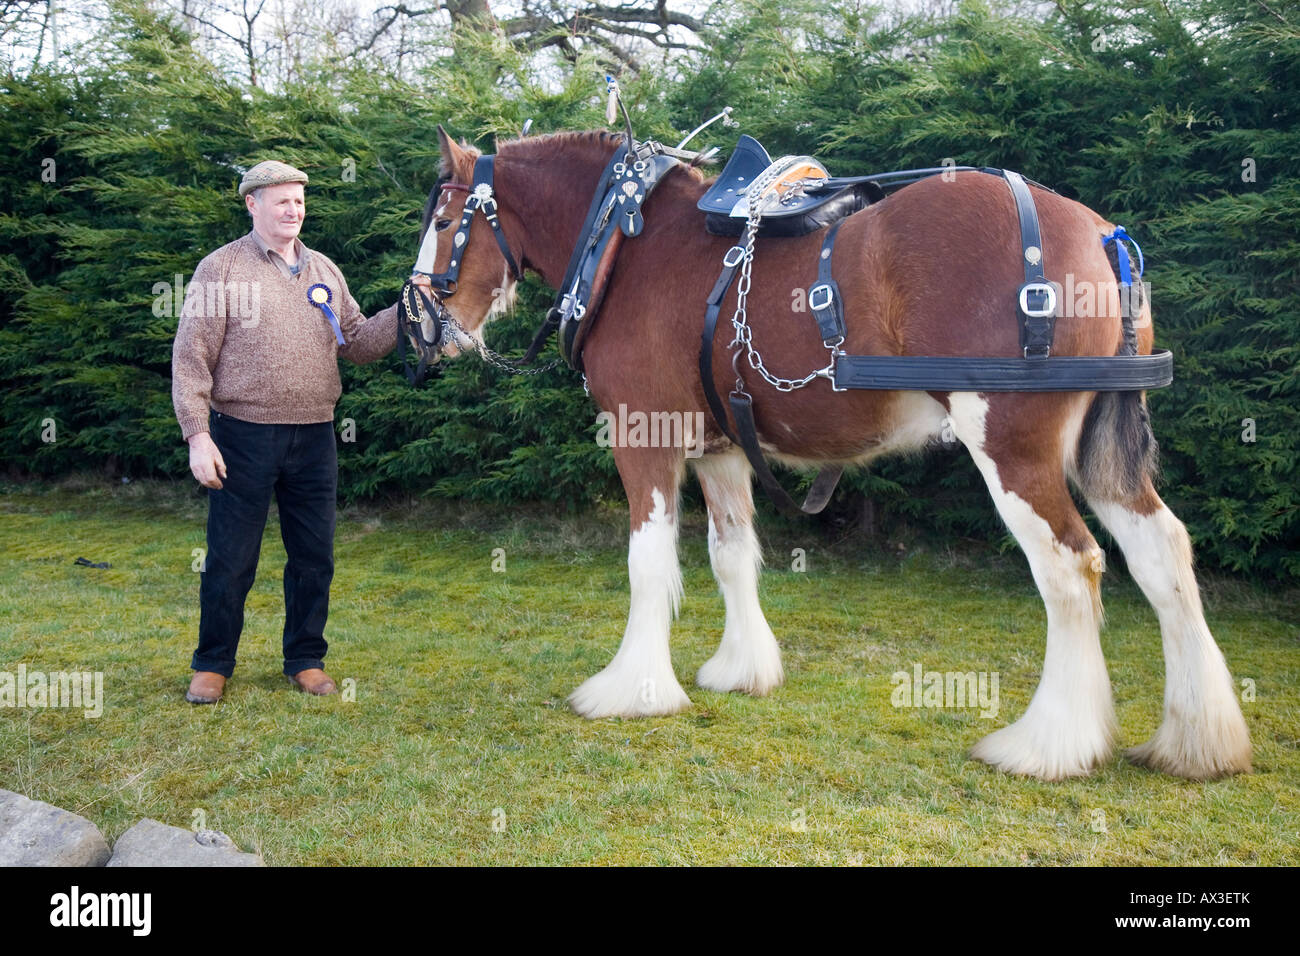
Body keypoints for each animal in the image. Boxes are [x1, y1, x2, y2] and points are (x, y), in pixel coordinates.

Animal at [410, 127, 1253, 780]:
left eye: (446, 220)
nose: (416, 323)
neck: (624, 243)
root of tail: (1100, 233)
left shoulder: (641, 433)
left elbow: (649, 562)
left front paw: (631, 689)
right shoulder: (720, 451)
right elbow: (731, 556)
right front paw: (741, 669)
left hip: (1012, 446)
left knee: (1071, 568)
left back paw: (1050, 745)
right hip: (1093, 449)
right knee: (1162, 553)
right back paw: (1196, 741)